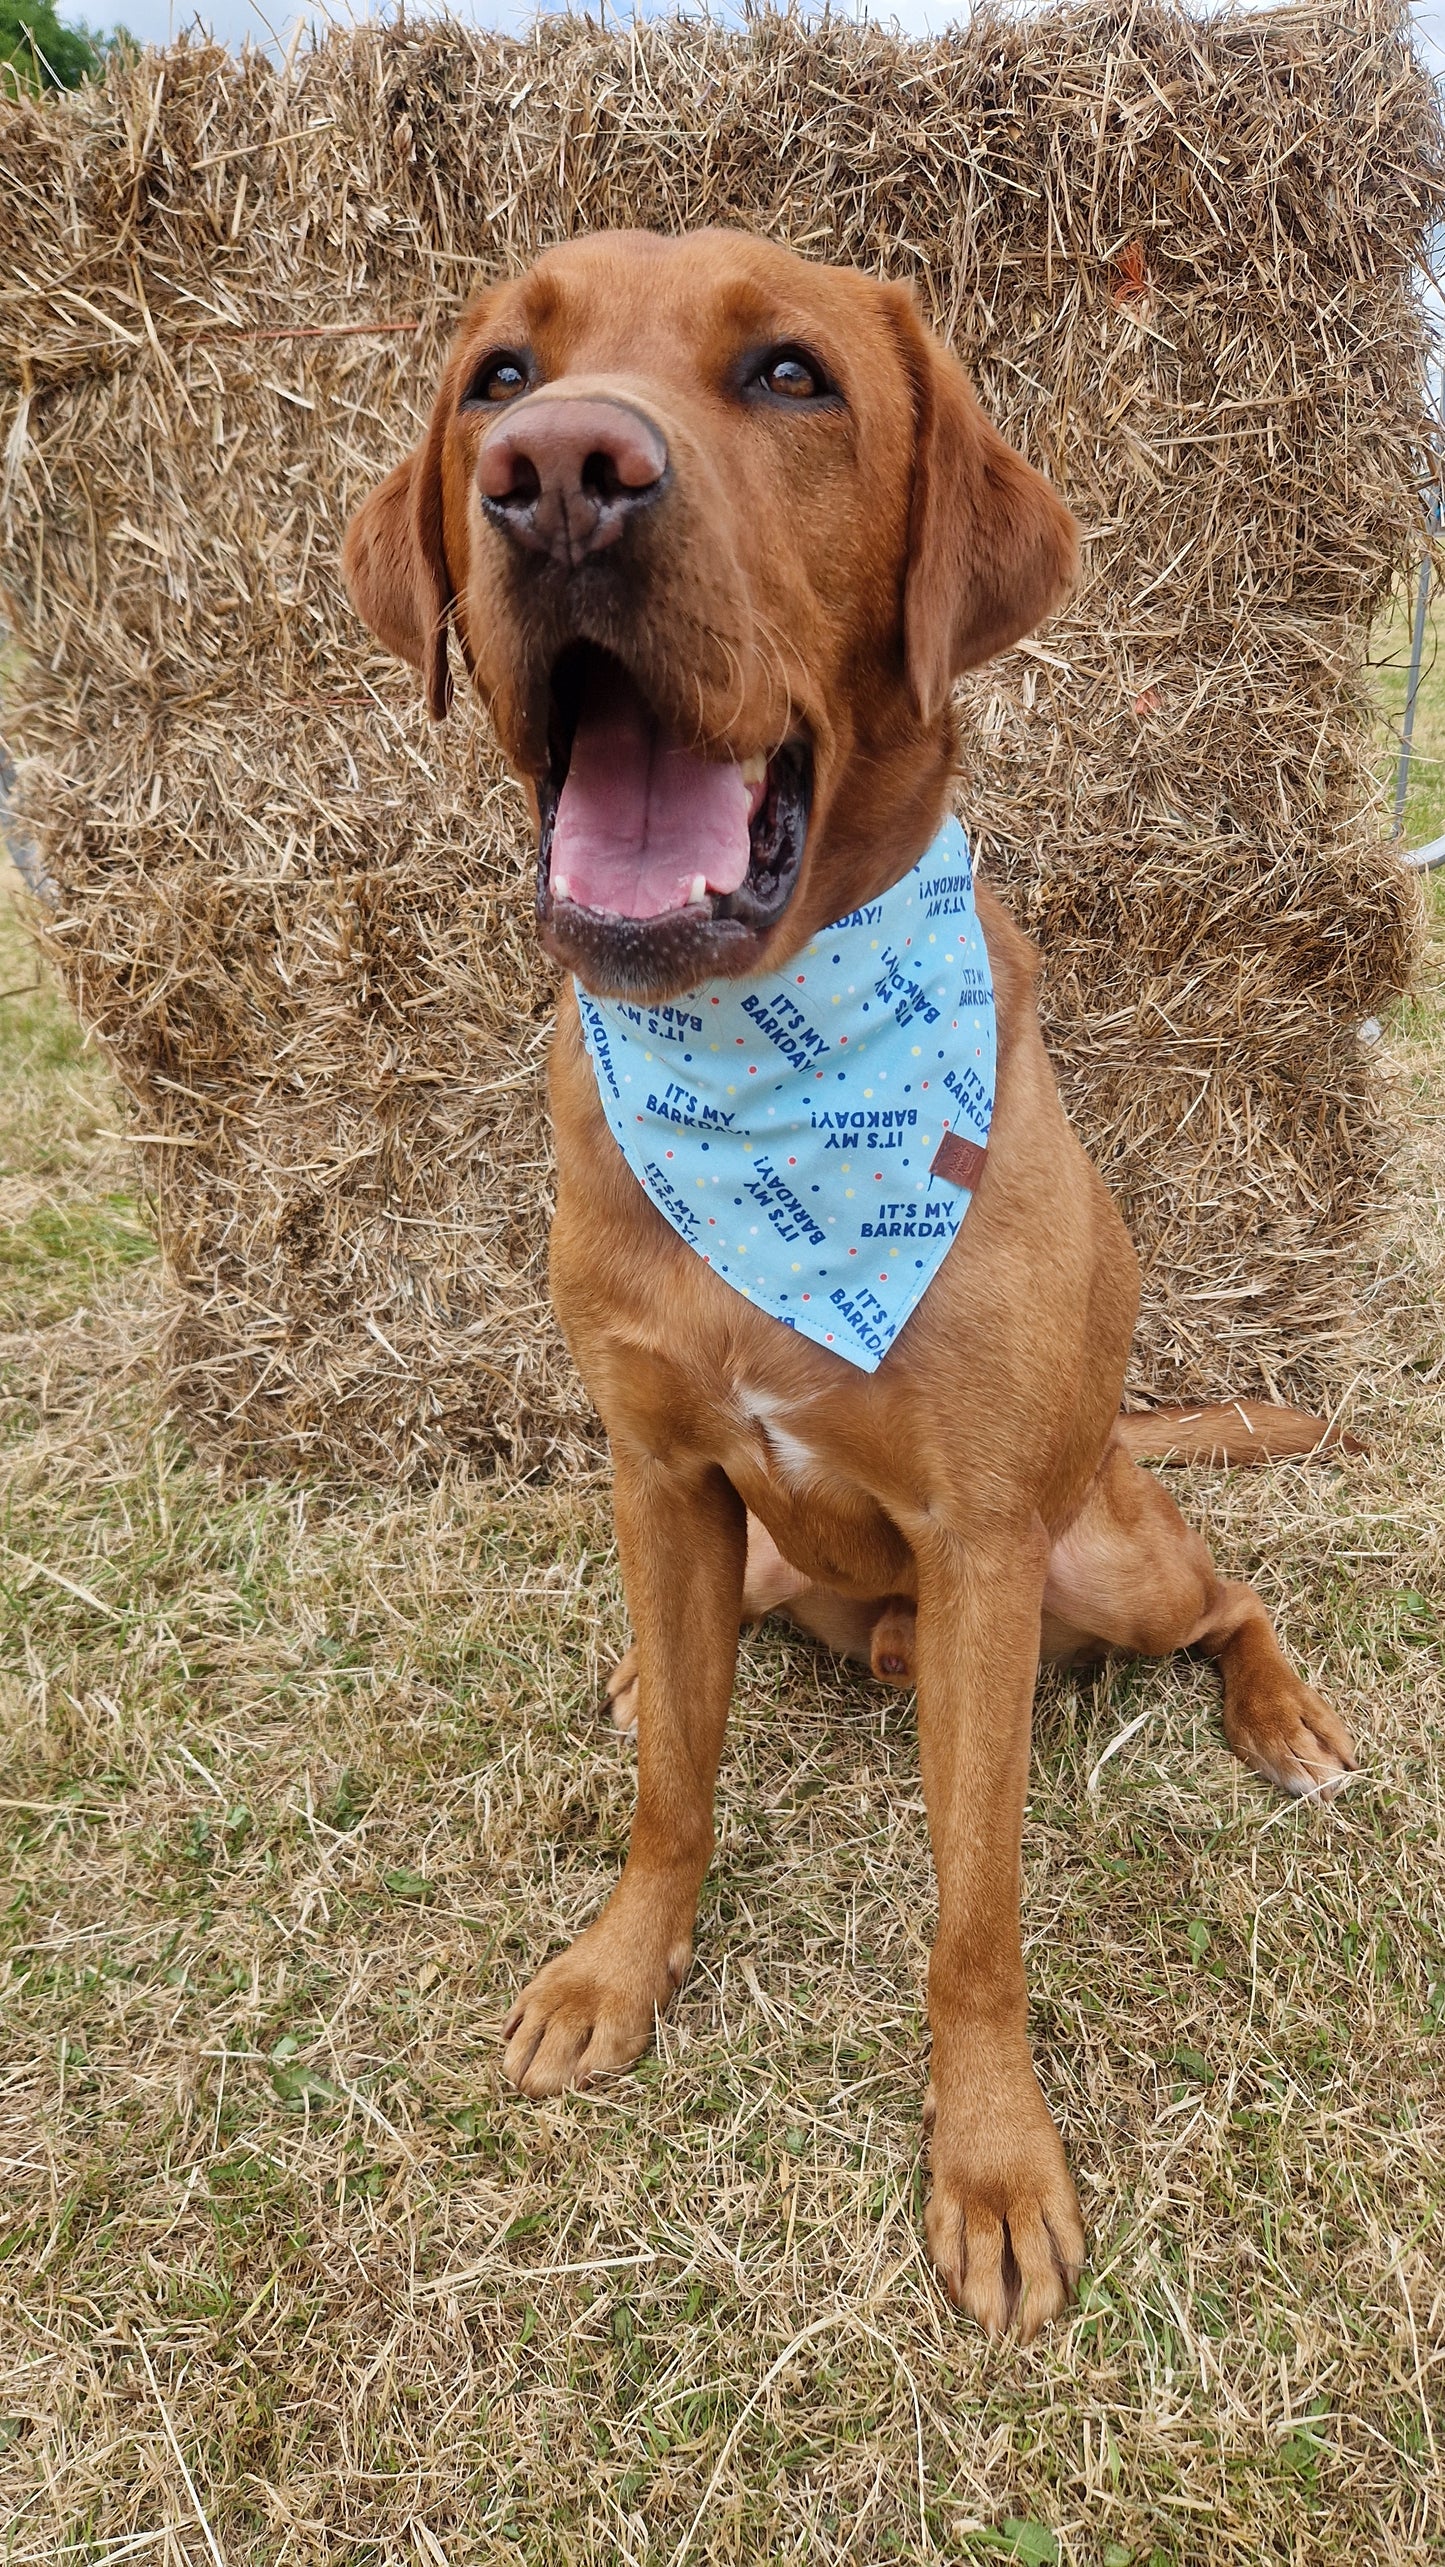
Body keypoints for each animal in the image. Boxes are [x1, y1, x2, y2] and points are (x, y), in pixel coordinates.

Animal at [343, 231, 1365, 2341]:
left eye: (792, 376)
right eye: (497, 377)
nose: (557, 479)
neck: (767, 1073)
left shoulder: (979, 1539)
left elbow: (976, 1909)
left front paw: (992, 2159)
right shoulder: (658, 1469)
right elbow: (675, 1783)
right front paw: (621, 1965)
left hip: (1100, 1547)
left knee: (1226, 1590)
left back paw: (1282, 1713)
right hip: (775, 1558)